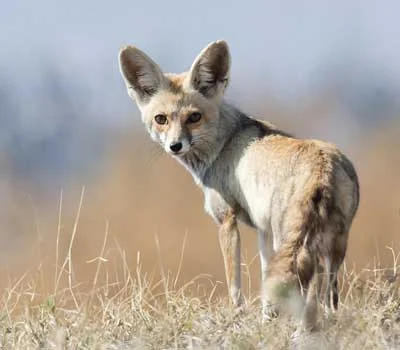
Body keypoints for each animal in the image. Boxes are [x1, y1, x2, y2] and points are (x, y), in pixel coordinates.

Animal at [118, 40, 360, 330]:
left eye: (194, 117)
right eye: (161, 119)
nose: (175, 146)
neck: (224, 145)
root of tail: (323, 166)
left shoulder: (226, 220)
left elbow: (234, 283)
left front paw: (239, 318)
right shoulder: (262, 230)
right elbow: (266, 276)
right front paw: (267, 321)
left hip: (293, 239)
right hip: (333, 245)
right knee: (329, 296)